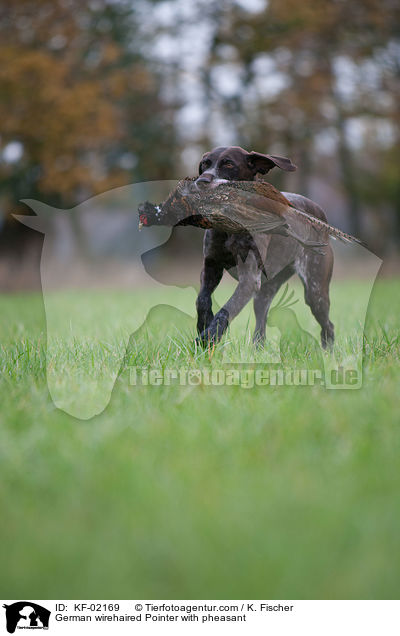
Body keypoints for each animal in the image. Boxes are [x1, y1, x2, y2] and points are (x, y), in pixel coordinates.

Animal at [194, 145, 334, 348]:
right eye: (205, 164)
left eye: (228, 164)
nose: (202, 181)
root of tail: (320, 213)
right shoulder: (211, 266)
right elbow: (202, 299)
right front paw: (203, 324)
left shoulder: (249, 280)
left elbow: (226, 310)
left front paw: (208, 337)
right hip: (265, 292)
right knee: (261, 326)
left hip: (315, 291)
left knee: (328, 325)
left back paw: (328, 351)